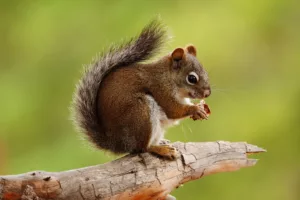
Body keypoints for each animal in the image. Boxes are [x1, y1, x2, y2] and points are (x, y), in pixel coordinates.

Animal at [72, 19, 211, 160]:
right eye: (192, 78)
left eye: (205, 72)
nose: (207, 93)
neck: (168, 77)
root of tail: (117, 143)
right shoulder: (161, 88)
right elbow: (173, 110)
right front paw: (195, 109)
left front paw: (201, 108)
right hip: (140, 112)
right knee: (142, 148)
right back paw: (161, 149)